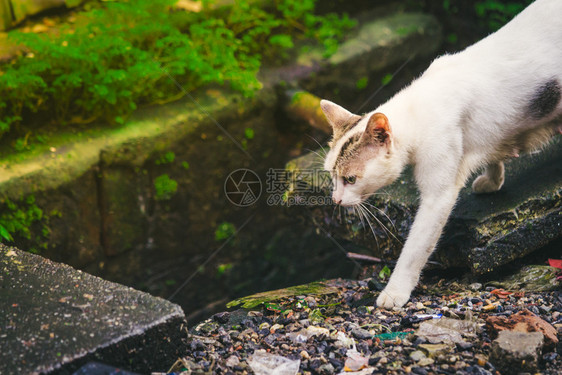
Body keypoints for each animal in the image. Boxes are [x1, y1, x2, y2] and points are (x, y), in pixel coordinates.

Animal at [322, 0, 556, 308]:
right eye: (331, 176)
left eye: (350, 179)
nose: (335, 199)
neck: (418, 107)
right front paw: (493, 178)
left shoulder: (438, 196)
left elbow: (414, 250)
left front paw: (395, 292)